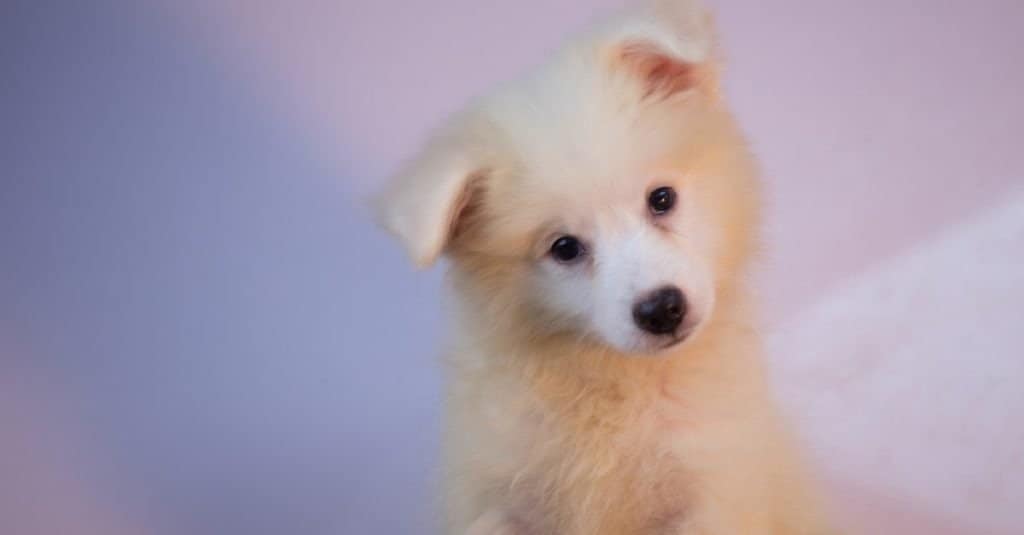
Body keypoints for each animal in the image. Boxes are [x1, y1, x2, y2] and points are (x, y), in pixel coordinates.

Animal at [376, 1, 831, 532]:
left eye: (661, 199)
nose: (662, 309)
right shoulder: (496, 496)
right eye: (565, 247)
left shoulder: (712, 483)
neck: (615, 379)